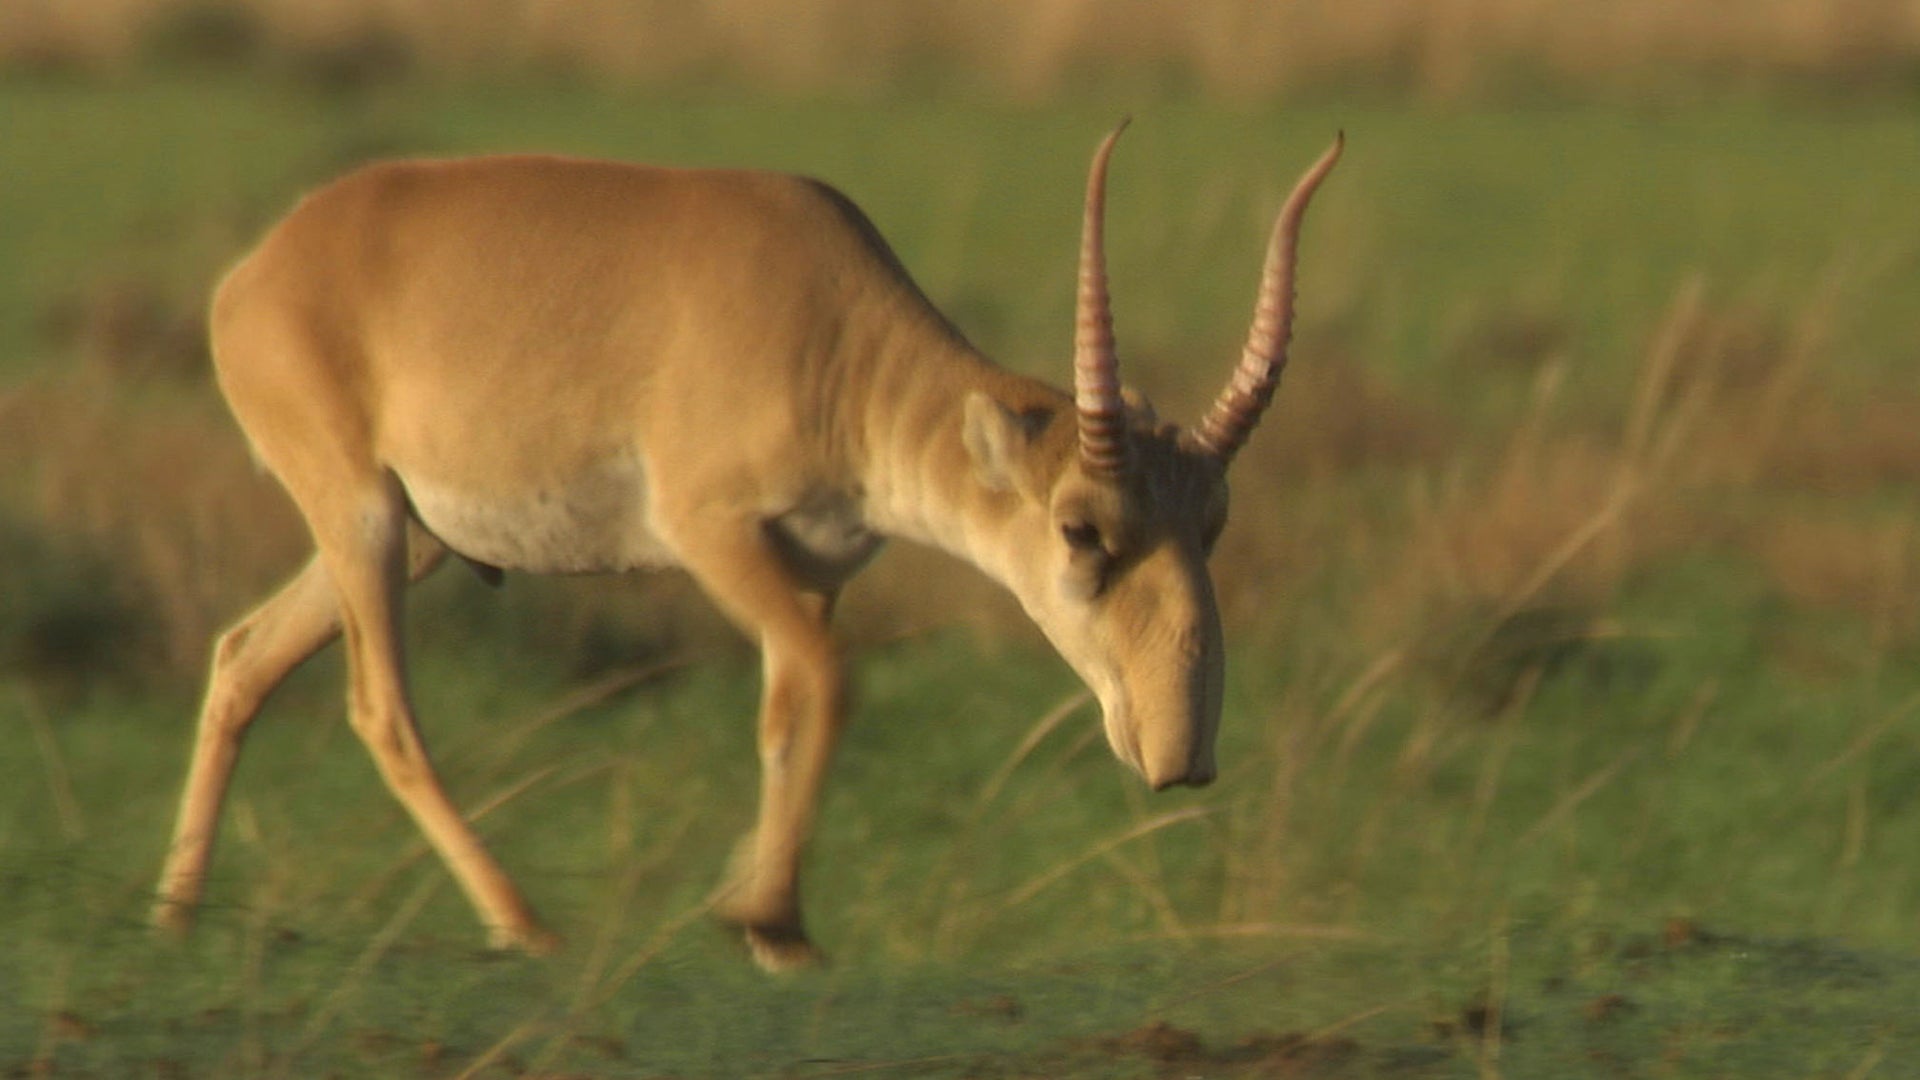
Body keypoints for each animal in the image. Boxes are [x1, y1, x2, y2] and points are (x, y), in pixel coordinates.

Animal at [151, 120, 1341, 970]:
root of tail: (254, 274)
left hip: (413, 541)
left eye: (1212, 519)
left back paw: (176, 915)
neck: (830, 332)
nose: (1180, 756)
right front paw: (760, 913)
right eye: (1081, 529)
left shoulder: (813, 573)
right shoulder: (715, 534)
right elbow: (833, 681)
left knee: (243, 656)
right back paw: (524, 926)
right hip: (359, 515)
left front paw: (774, 922)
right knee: (379, 708)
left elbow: (787, 711)